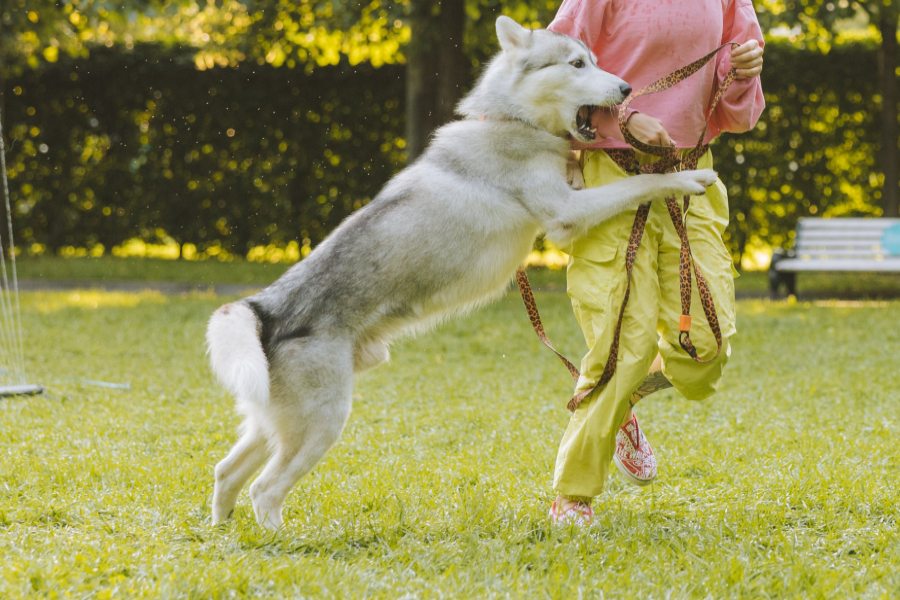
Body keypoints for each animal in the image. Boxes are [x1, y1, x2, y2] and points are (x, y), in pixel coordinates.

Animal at [206, 15, 716, 528]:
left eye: (594, 60)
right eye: (576, 64)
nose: (627, 87)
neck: (513, 119)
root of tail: (263, 307)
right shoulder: (567, 215)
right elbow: (640, 184)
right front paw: (684, 177)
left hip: (274, 421)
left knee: (226, 471)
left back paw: (227, 532)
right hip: (321, 423)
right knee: (264, 490)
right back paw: (279, 537)